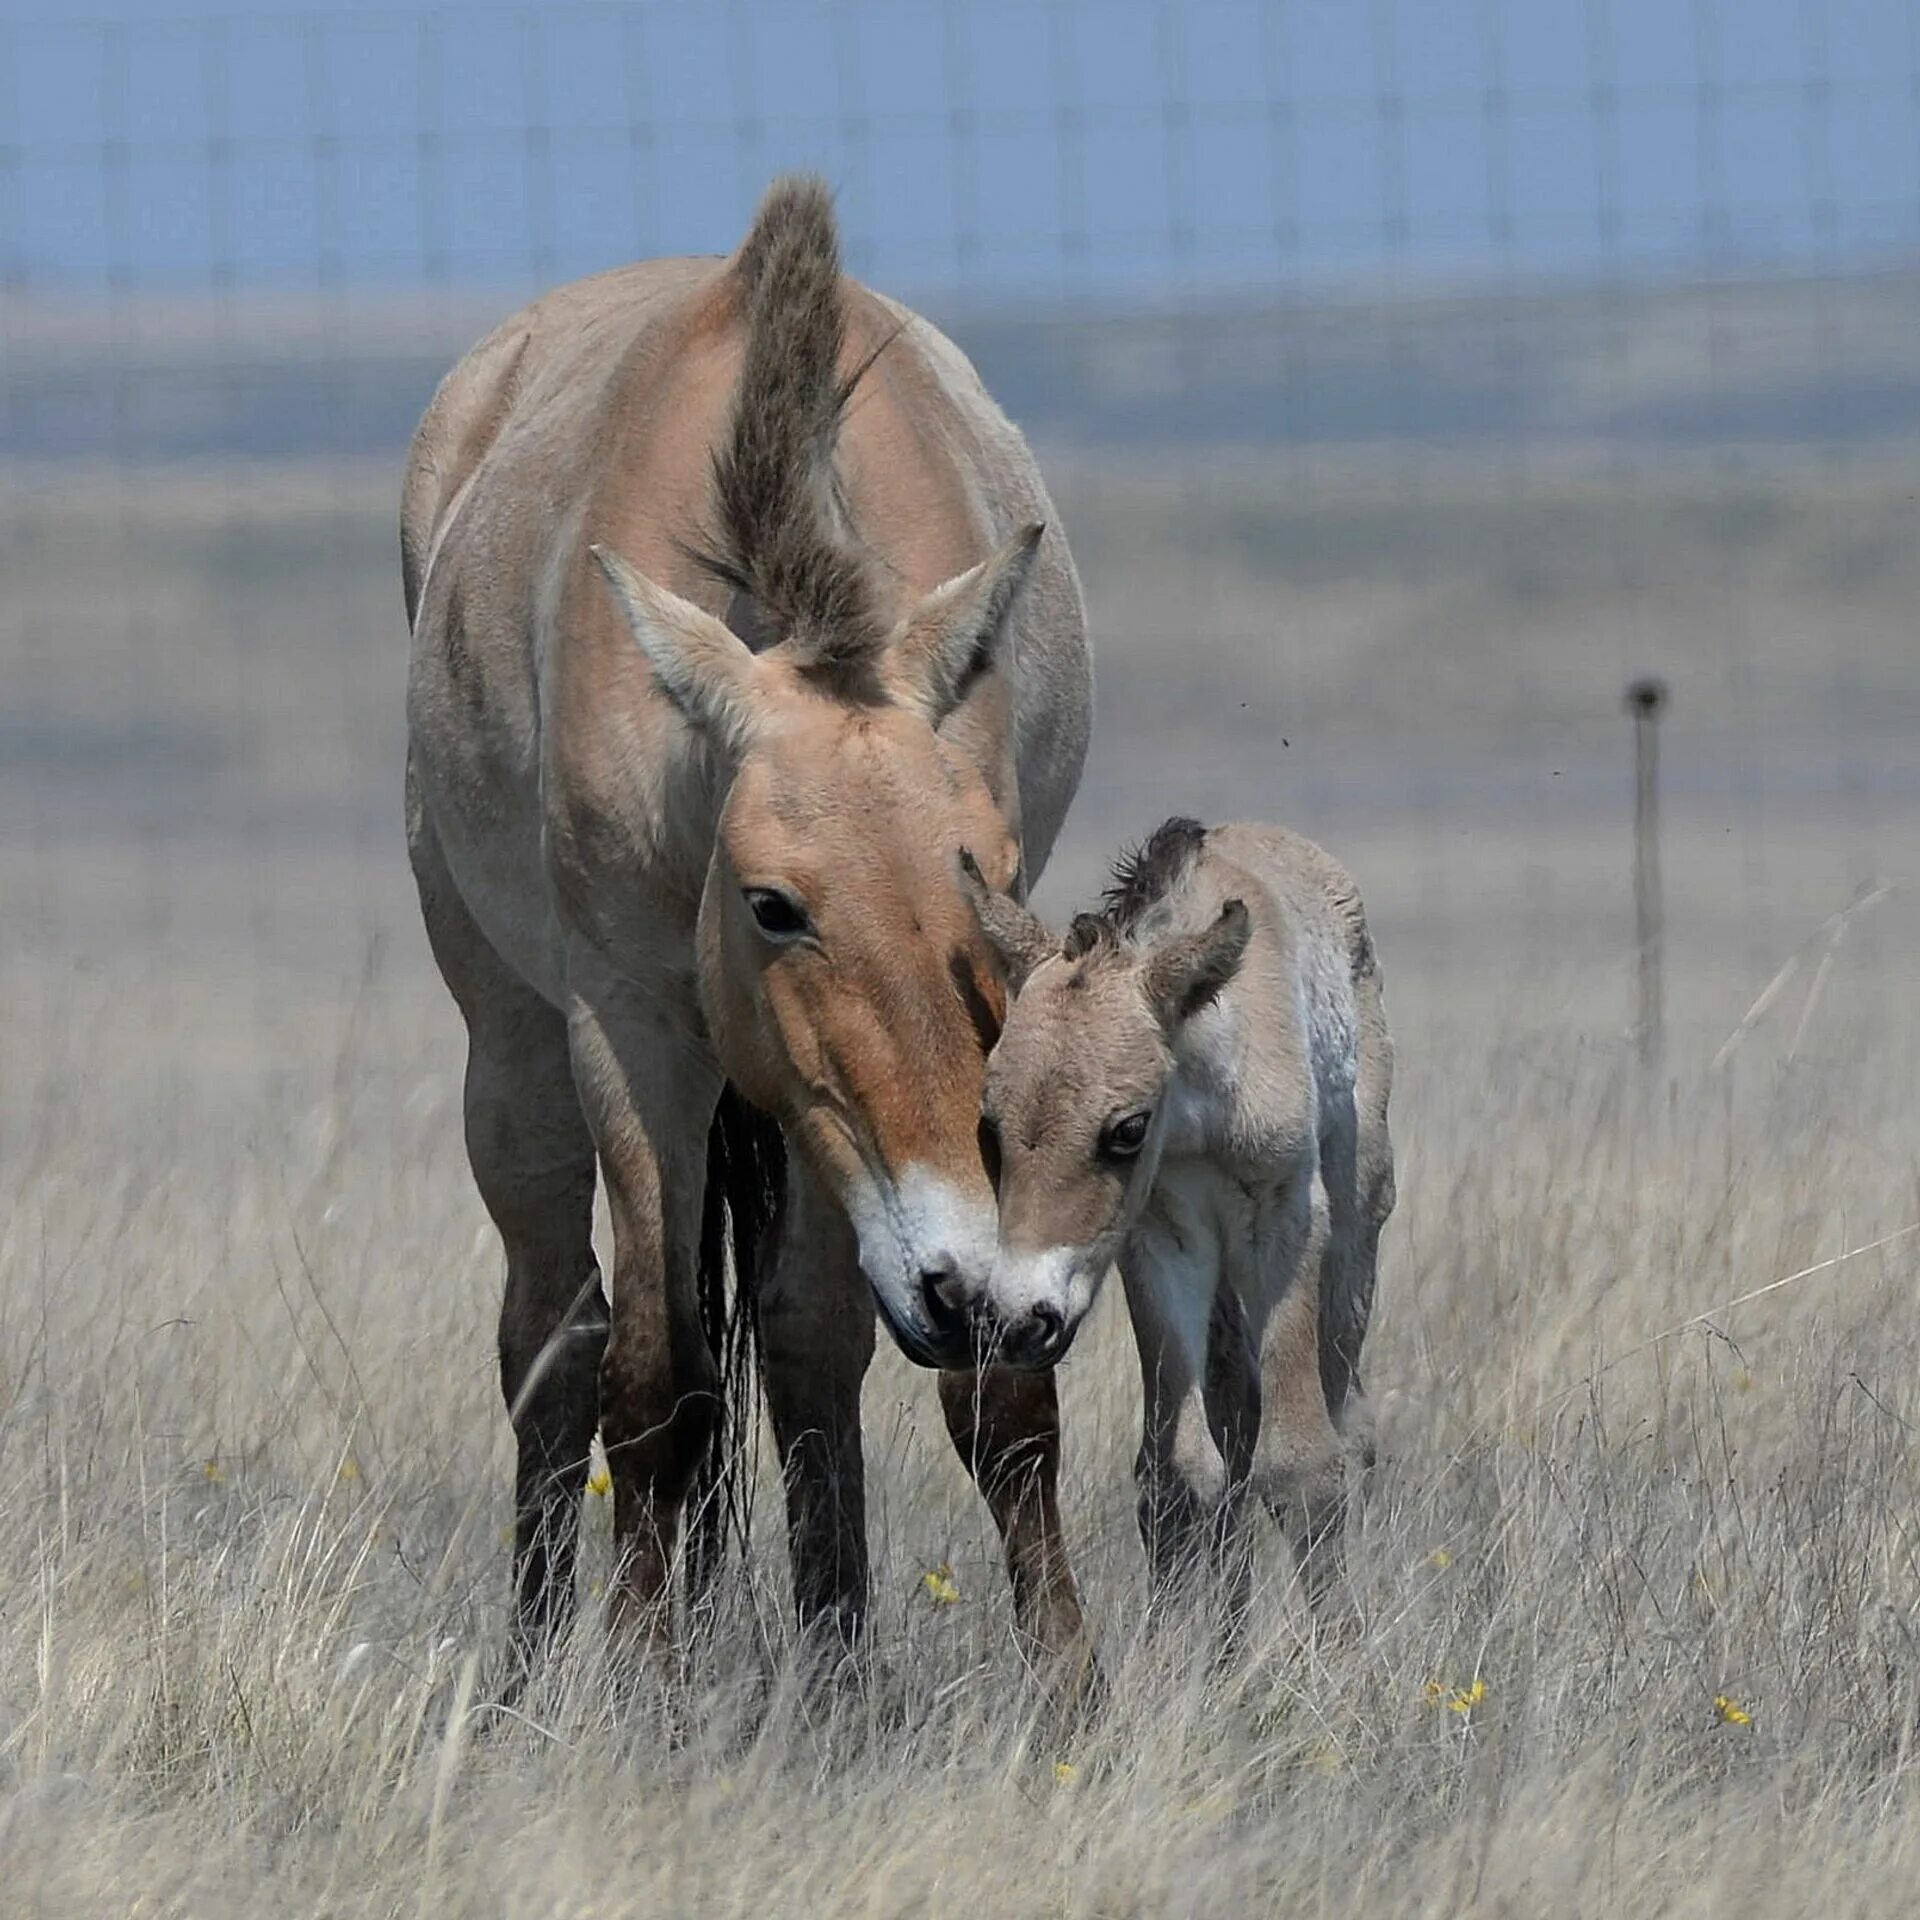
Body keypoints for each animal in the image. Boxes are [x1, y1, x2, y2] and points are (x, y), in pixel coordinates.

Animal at [401, 183, 1098, 1681]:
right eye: (775, 905)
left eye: (1001, 879)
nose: (964, 1282)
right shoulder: (636, 1036)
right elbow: (657, 1379)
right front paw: (642, 1690)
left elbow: (975, 1393)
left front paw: (1063, 1689)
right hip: (515, 1050)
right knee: (554, 1336)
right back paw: (533, 1672)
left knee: (801, 1345)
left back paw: (834, 1669)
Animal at [967, 821, 1390, 1605]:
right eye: (990, 1125)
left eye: (1127, 1129)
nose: (1019, 1320)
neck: (1202, 1105)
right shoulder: (1163, 1244)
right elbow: (1181, 1473)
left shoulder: (1285, 1226)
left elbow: (1305, 1467)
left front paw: (1344, 1639)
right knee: (1232, 1422)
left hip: (1356, 1233)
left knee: (1352, 1427)